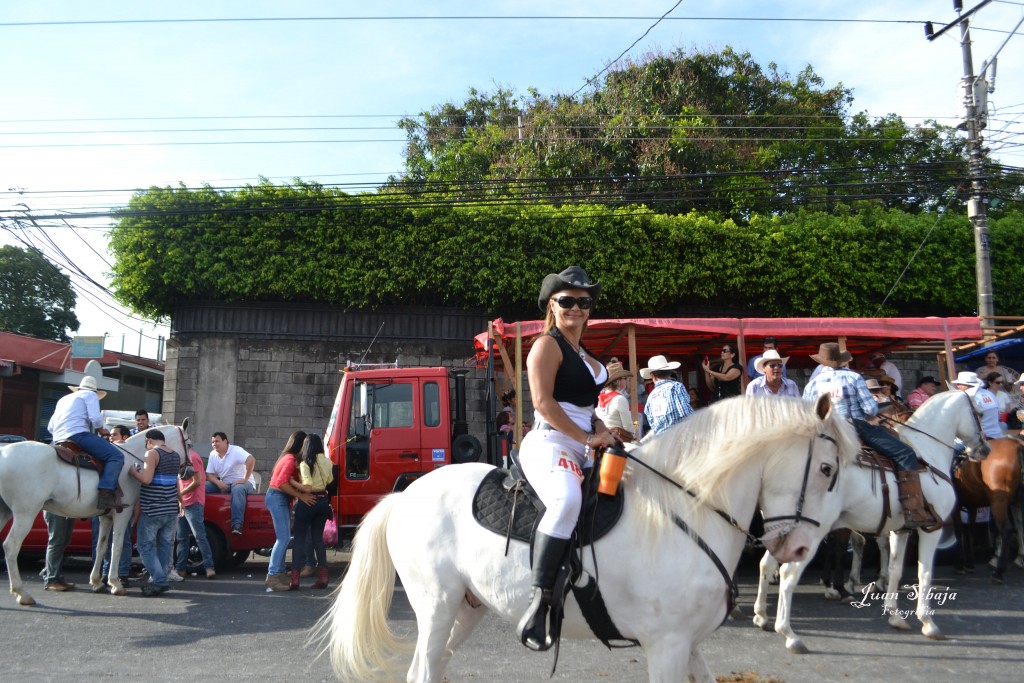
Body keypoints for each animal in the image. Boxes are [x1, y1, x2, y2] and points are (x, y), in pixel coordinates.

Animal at [0, 421, 191, 602]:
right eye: (189, 443)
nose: (189, 471)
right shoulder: (122, 514)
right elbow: (117, 546)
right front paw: (115, 583)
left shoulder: (106, 516)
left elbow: (101, 546)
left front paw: (97, 582)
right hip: (25, 513)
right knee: (11, 546)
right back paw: (21, 592)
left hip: (6, 511)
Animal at [315, 395, 860, 683]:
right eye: (827, 469)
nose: (798, 552)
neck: (689, 510)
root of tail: (403, 496)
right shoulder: (665, 645)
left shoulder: (689, 644)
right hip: (436, 604)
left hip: (467, 608)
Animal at [757, 389, 987, 651]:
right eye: (980, 413)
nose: (985, 449)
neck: (927, 452)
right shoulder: (932, 529)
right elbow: (925, 572)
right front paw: (928, 623)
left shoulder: (901, 530)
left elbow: (896, 569)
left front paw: (894, 615)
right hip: (811, 532)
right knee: (788, 573)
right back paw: (789, 634)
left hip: (784, 530)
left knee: (766, 565)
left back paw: (762, 616)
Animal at [950, 438, 1024, 581]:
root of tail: (1017, 445)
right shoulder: (971, 505)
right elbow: (970, 532)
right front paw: (969, 564)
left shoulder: (955, 506)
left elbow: (959, 531)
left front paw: (960, 564)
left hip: (998, 503)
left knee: (1006, 531)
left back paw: (999, 571)